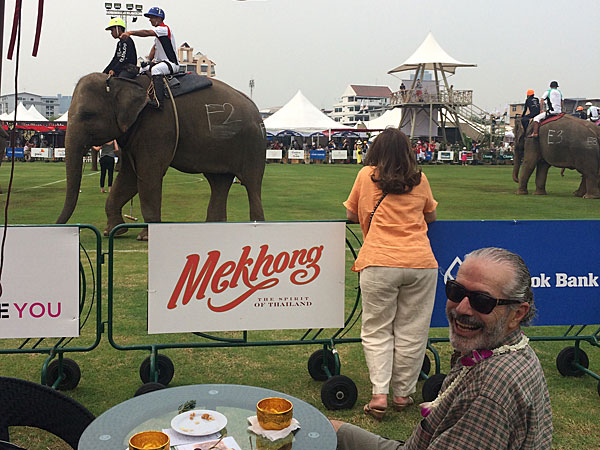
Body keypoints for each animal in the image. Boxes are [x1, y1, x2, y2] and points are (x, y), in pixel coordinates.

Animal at [55, 73, 264, 239]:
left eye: (87, 115)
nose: (57, 225)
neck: (123, 80)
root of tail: (255, 109)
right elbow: (129, 178)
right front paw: (112, 232)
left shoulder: (157, 127)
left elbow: (148, 176)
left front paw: (144, 237)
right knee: (218, 182)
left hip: (253, 145)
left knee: (252, 184)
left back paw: (258, 226)